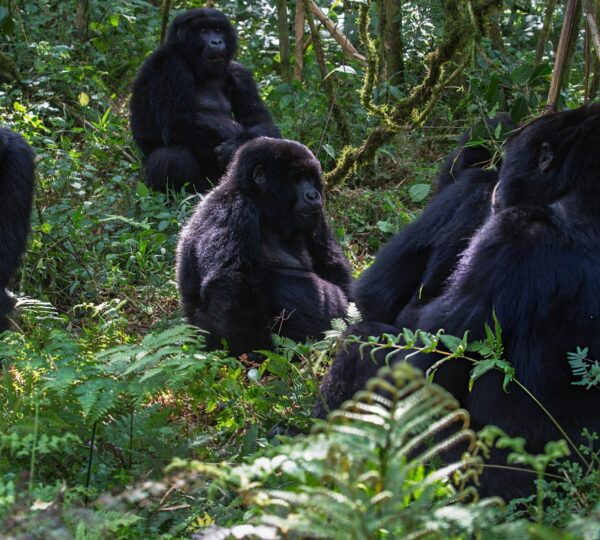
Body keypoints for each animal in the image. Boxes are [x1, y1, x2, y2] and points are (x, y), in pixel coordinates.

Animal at [130, 7, 280, 192]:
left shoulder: (239, 73)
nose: (216, 42)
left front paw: (237, 145)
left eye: (218, 29)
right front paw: (234, 148)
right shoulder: (169, 65)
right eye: (203, 30)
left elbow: (261, 122)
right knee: (171, 156)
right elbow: (178, 123)